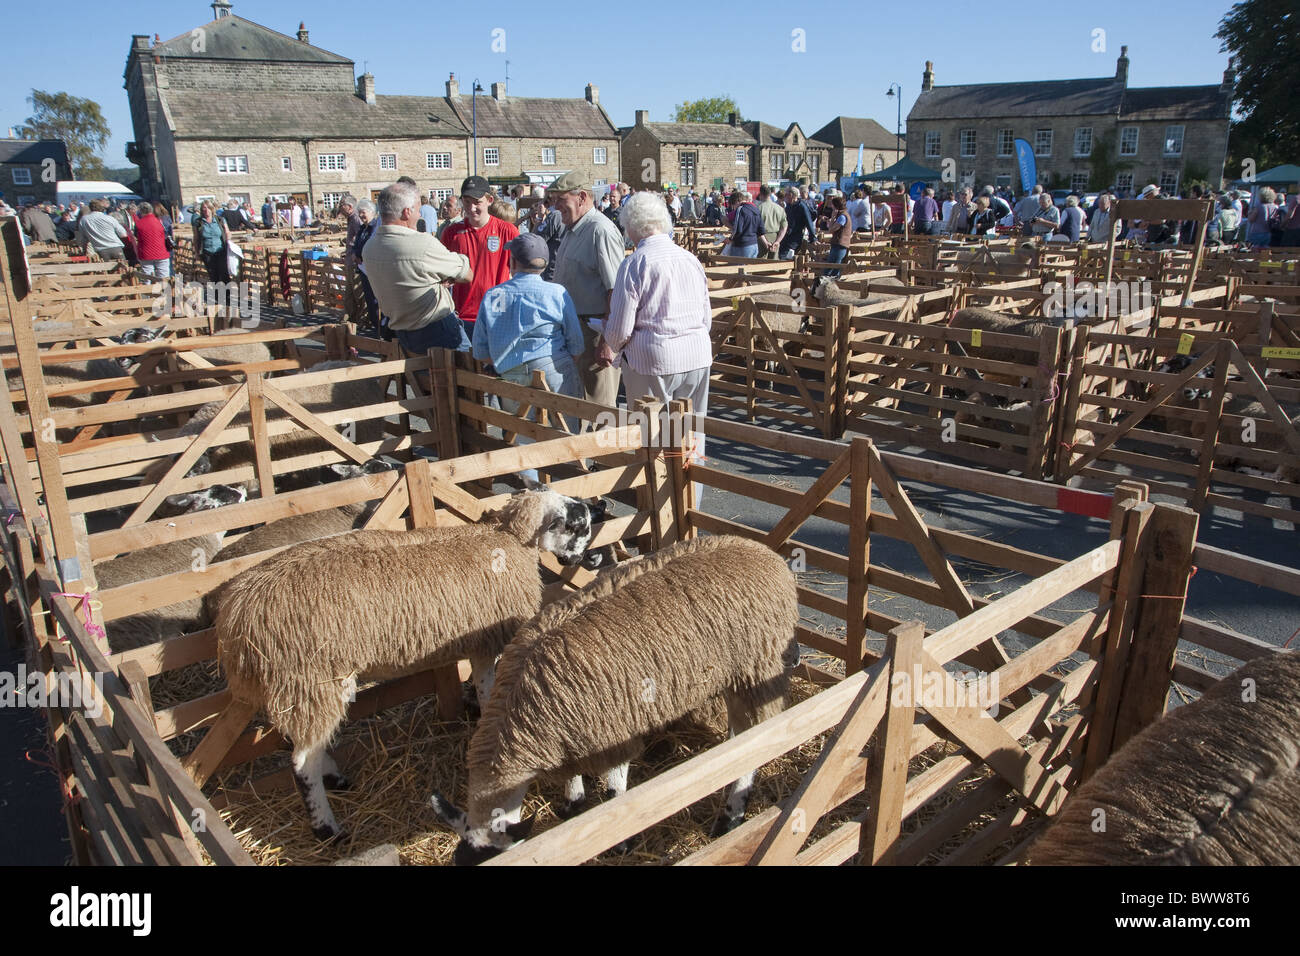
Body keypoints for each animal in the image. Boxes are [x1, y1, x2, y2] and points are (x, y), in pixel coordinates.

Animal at [431, 538, 795, 868]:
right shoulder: (569, 736)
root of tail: (766, 555)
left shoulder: (613, 730)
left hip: (759, 667)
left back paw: (731, 815)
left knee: (755, 740)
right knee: (741, 733)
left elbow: (614, 792)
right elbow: (571, 776)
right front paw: (573, 804)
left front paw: (620, 840)